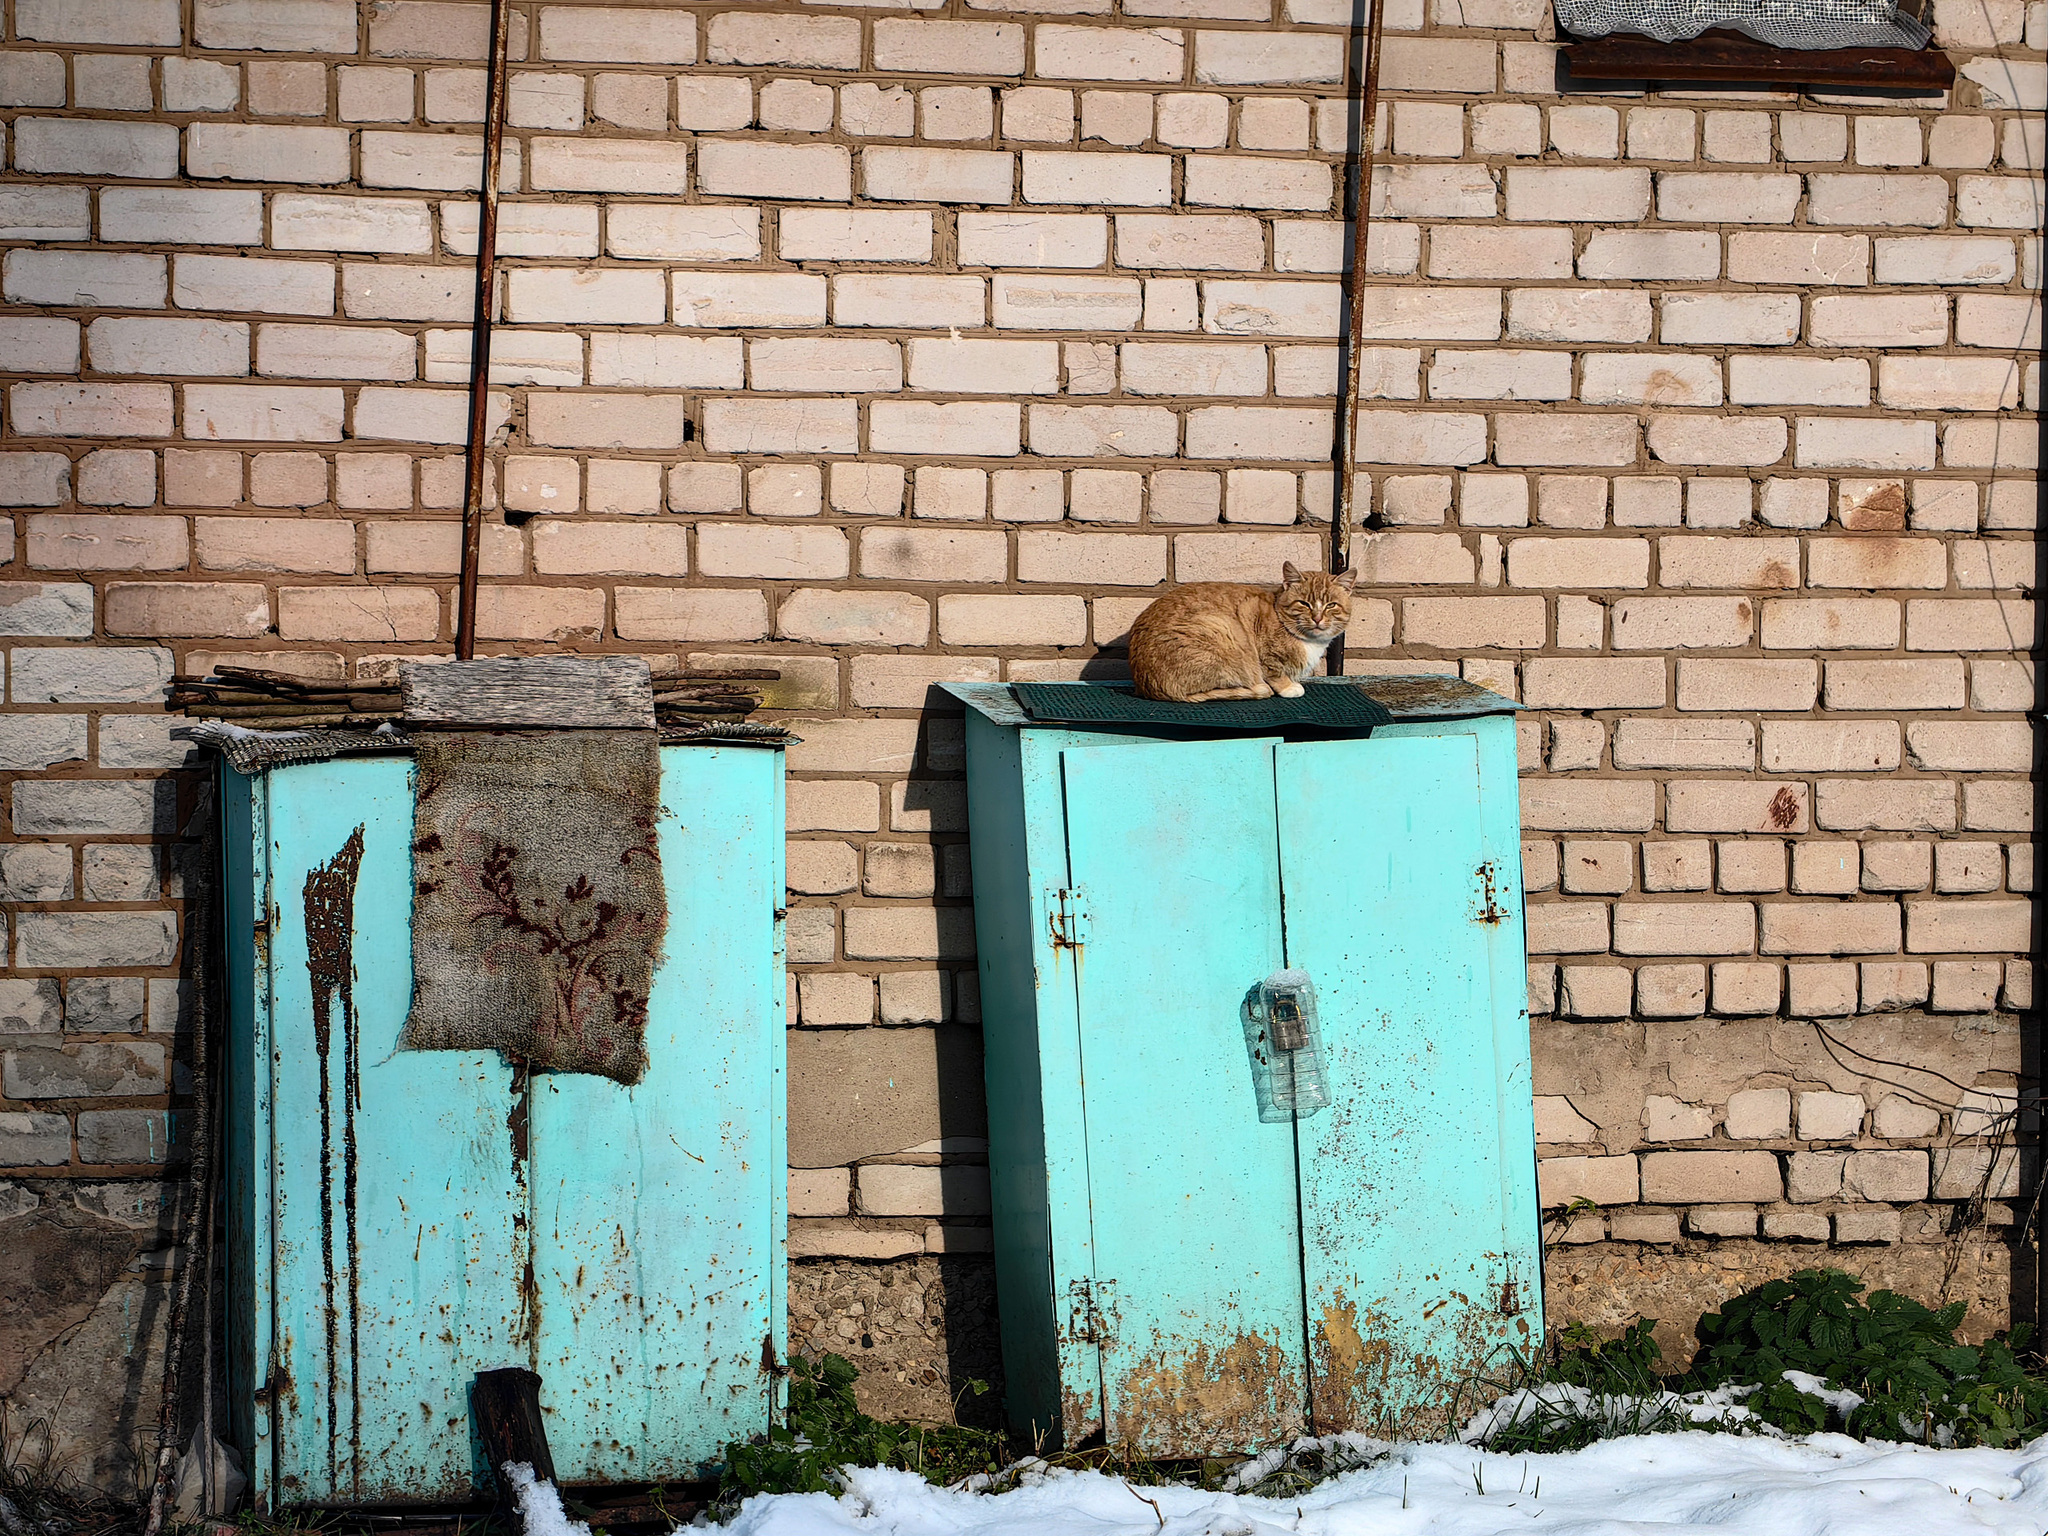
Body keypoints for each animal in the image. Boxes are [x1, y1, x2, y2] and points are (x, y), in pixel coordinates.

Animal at [1130, 561, 1351, 708]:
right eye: (1304, 604)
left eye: (1331, 605)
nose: (1317, 618)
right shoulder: (1253, 621)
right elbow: (1274, 671)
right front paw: (1289, 687)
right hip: (1221, 630)